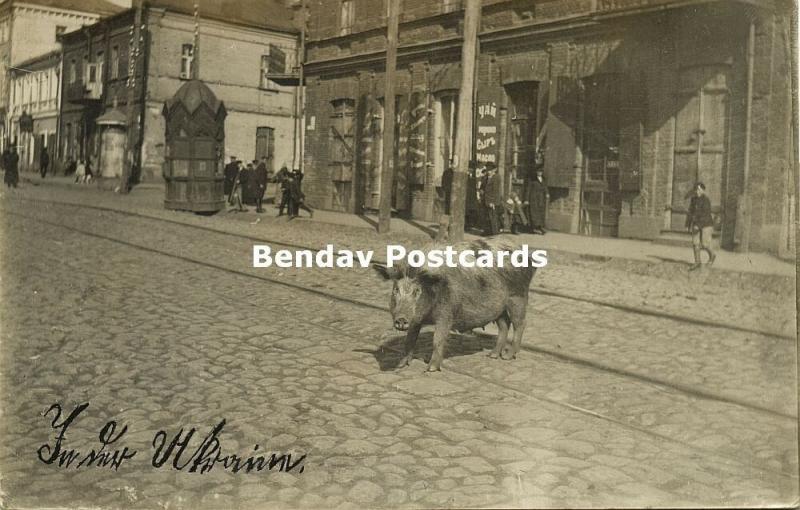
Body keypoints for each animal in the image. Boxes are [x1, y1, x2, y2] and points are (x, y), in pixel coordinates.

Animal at [370, 237, 536, 372]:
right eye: (395, 290)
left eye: (417, 290)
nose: (401, 319)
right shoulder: (416, 319)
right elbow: (410, 339)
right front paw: (401, 365)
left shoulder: (446, 314)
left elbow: (437, 339)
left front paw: (430, 369)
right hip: (498, 308)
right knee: (504, 324)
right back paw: (492, 355)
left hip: (518, 297)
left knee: (520, 324)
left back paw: (507, 356)